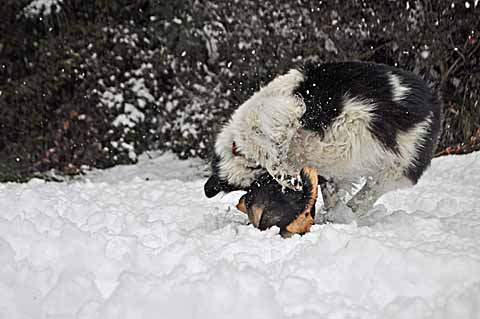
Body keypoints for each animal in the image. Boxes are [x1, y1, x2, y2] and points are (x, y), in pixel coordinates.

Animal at [204, 60, 440, 215]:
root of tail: (432, 99)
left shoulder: (280, 112)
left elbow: (272, 154)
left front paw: (288, 178)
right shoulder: (331, 171)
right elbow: (330, 190)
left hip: (401, 164)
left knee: (373, 190)